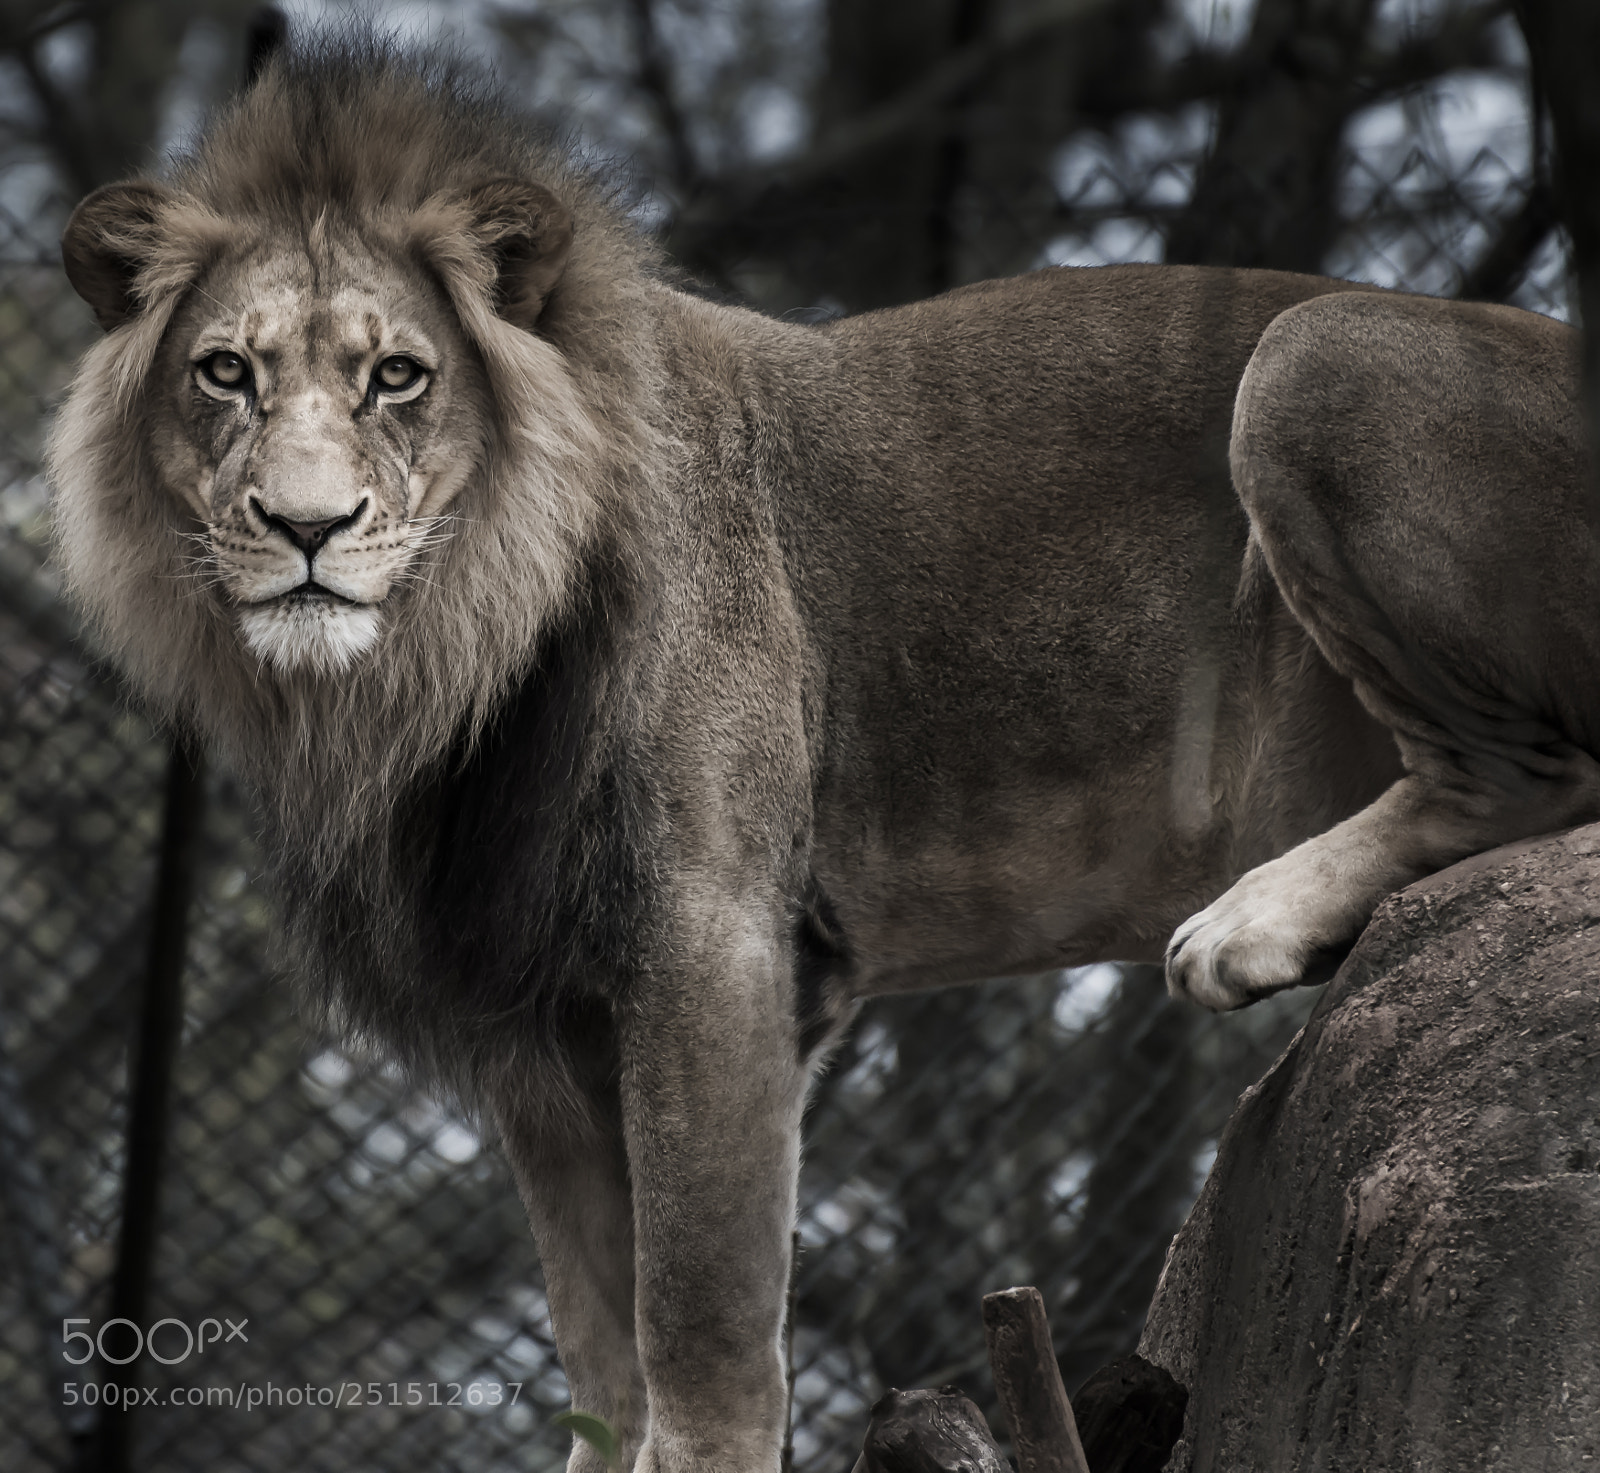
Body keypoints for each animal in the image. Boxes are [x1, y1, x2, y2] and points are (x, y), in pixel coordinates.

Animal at [47, 38, 1600, 1473]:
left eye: (397, 378)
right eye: (225, 373)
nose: (306, 528)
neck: (429, 671)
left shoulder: (718, 947)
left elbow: (702, 1334)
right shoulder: (539, 1034)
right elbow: (601, 1363)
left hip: (1316, 355)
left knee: (1531, 774)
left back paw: (1252, 922)